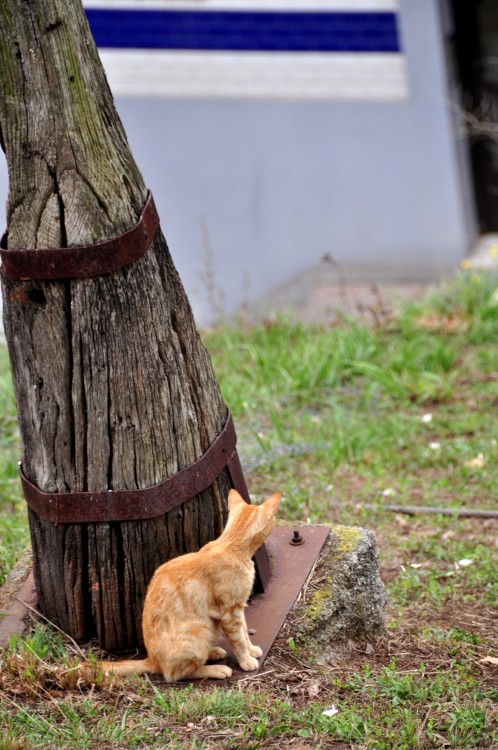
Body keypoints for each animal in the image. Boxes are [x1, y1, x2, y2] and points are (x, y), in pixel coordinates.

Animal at [94, 490, 280, 684]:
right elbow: (239, 640)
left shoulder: (238, 607)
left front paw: (251, 650)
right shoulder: (229, 612)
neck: (230, 545)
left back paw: (213, 652)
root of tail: (152, 659)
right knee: (176, 674)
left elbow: (244, 631)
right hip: (200, 630)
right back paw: (216, 669)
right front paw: (245, 660)